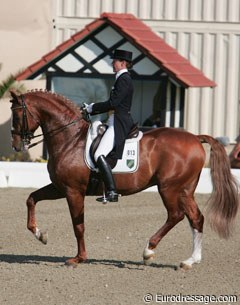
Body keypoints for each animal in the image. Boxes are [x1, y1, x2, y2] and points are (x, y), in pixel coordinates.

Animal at [9, 89, 238, 268]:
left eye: (17, 115)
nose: (15, 145)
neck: (69, 139)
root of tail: (195, 138)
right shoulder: (60, 187)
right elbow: (31, 199)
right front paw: (40, 235)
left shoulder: (73, 191)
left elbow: (78, 225)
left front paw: (78, 258)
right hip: (185, 189)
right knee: (196, 218)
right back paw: (190, 261)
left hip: (169, 188)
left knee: (176, 215)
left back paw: (148, 251)